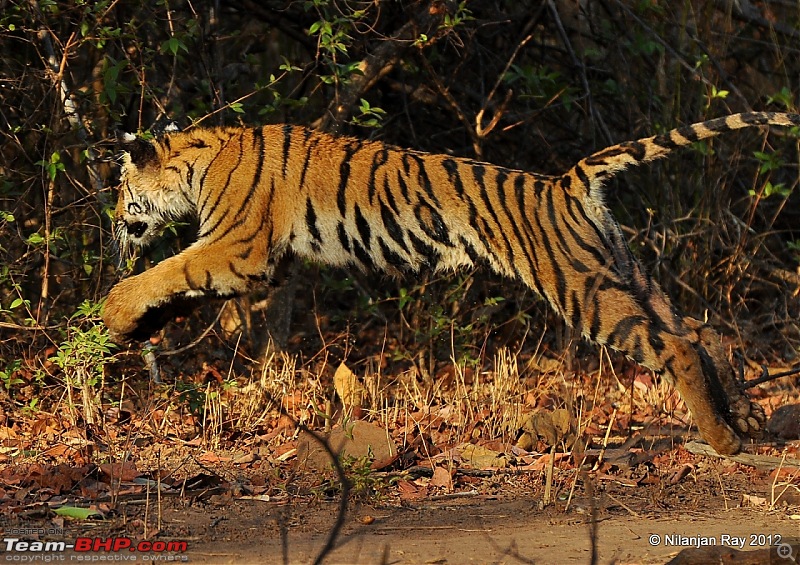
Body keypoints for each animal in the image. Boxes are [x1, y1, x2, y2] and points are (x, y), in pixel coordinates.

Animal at [101, 110, 800, 454]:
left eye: (120, 189)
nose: (111, 220)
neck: (197, 162)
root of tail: (567, 182)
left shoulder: (239, 247)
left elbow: (171, 269)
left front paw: (113, 310)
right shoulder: (253, 260)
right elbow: (178, 290)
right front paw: (136, 324)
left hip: (584, 289)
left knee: (675, 345)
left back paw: (722, 440)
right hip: (620, 270)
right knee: (701, 329)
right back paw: (743, 417)